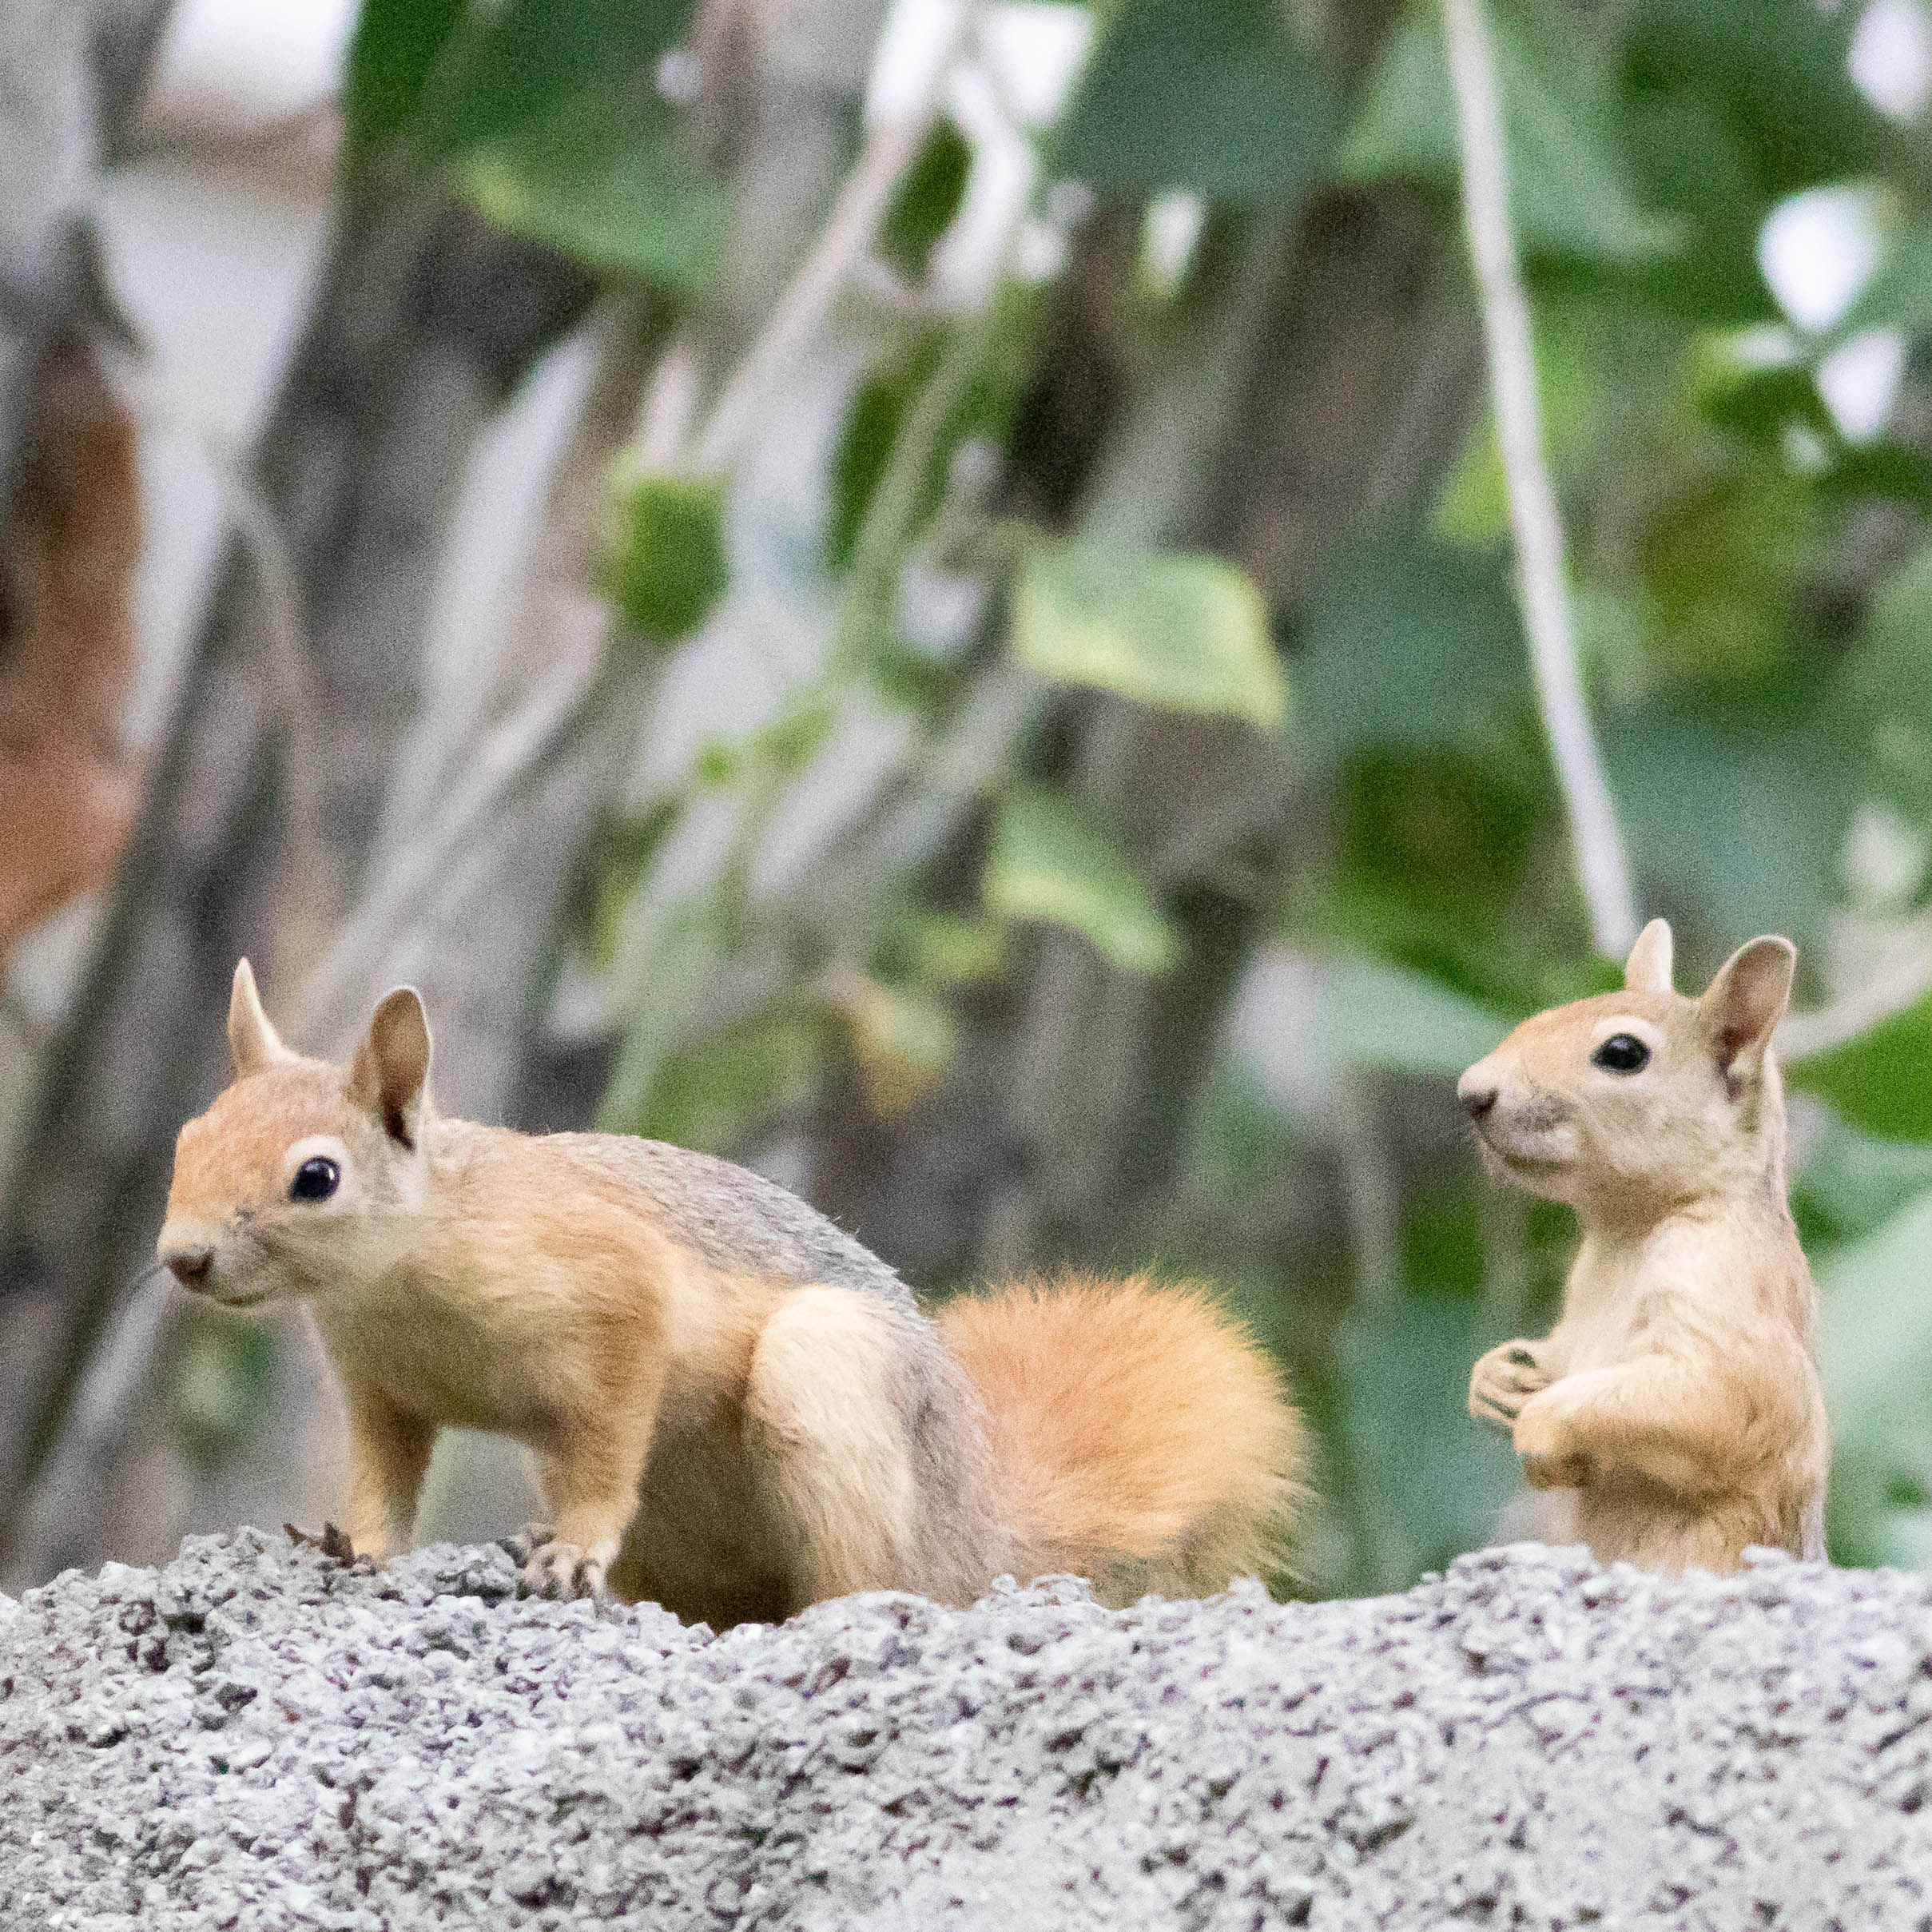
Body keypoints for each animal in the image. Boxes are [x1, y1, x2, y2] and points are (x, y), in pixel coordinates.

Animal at [158, 958, 1306, 1623]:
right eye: (189, 1136)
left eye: (316, 1176)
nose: (180, 1257)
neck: (398, 1274)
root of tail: (974, 1529)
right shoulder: (378, 1387)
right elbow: (384, 1477)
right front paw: (348, 1546)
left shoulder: (614, 1288)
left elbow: (613, 1430)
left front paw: (576, 1551)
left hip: (824, 1384)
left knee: (873, 1577)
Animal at [1461, 916, 1823, 1568]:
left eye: (1623, 1053)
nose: (1469, 1092)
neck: (1626, 1233)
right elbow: (1557, 1351)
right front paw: (1497, 1378)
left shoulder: (1721, 1280)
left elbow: (1718, 1399)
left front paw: (1541, 1427)